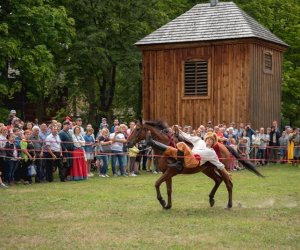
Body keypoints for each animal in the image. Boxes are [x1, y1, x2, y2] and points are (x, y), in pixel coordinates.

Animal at [126, 120, 262, 210]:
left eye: (137, 129)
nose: (127, 143)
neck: (166, 148)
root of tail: (225, 146)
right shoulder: (167, 173)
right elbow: (168, 189)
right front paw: (168, 205)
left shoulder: (170, 172)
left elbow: (157, 183)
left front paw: (162, 201)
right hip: (208, 170)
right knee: (218, 180)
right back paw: (211, 199)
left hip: (221, 169)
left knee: (228, 183)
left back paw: (229, 205)